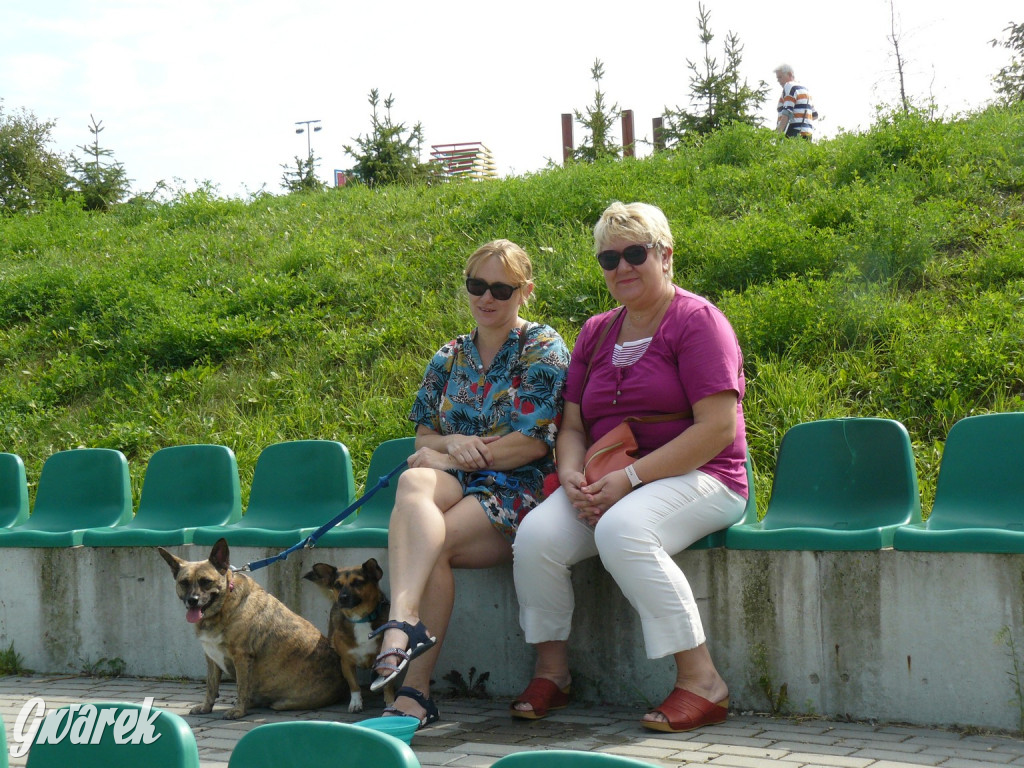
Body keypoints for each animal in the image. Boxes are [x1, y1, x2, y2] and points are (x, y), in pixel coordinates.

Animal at [157, 536, 346, 720]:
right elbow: (211, 687)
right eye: (184, 582)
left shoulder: (242, 656)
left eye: (206, 582)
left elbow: (241, 687)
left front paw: (238, 711)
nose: (192, 600)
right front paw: (206, 707)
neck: (224, 606)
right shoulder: (211, 658)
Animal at [301, 561, 393, 716]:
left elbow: (388, 684)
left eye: (357, 582)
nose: (342, 598)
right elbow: (354, 685)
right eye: (337, 585)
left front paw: (391, 701)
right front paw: (355, 702)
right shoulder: (346, 662)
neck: (360, 618)